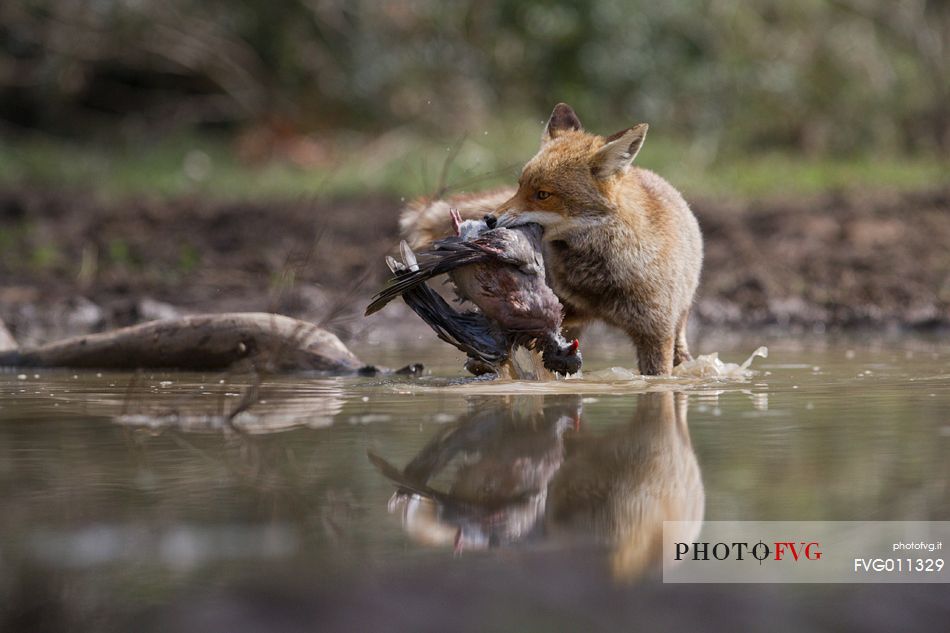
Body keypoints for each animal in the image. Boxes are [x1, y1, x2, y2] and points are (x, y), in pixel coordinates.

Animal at [398, 101, 704, 372]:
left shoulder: (655, 334)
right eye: (519, 186)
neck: (600, 281)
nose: (489, 219)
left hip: (677, 322)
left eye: (543, 194)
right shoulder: (559, 311)